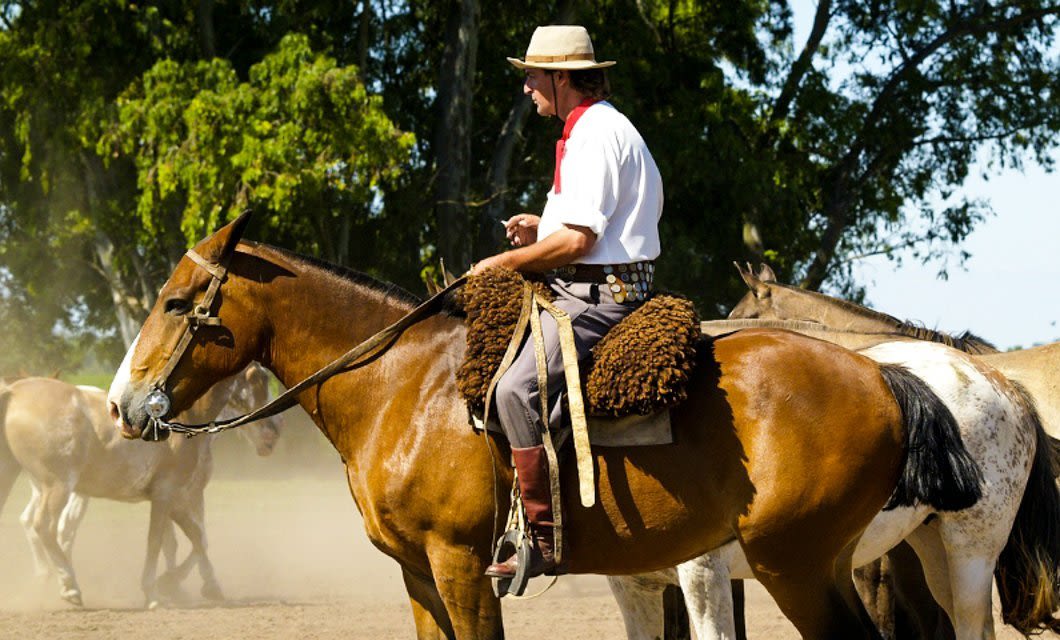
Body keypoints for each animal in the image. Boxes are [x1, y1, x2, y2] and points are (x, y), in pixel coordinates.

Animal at [0, 363, 281, 607]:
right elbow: (159, 541)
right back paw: (69, 585)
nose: (274, 433)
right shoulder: (169, 494)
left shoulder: (176, 498)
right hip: (58, 486)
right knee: (44, 526)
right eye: (257, 379)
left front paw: (194, 586)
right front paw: (156, 591)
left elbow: (195, 537)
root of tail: (15, 392)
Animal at [107, 213, 984, 639]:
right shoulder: (417, 574)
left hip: (795, 565)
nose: (122, 404)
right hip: (827, 564)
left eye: (178, 304)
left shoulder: (462, 565)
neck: (405, 387)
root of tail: (883, 374)